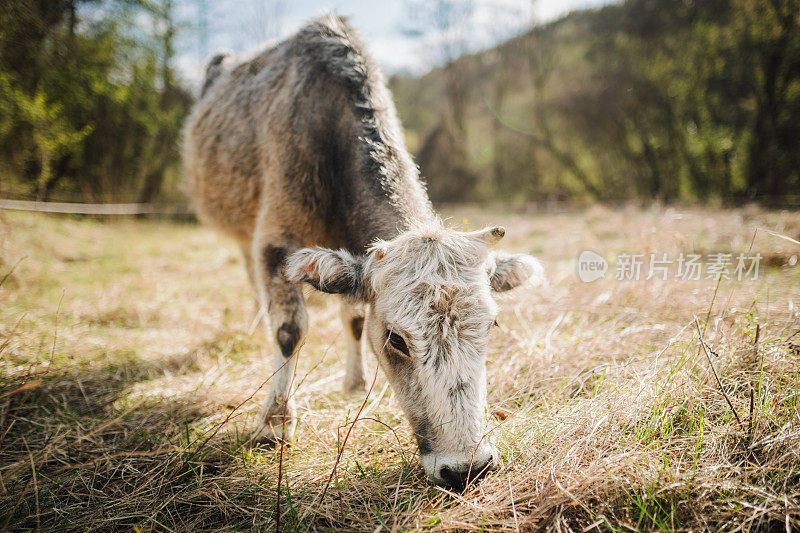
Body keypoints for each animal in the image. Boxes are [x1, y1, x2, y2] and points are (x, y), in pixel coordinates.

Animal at [181, 14, 544, 488]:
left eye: (493, 325)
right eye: (395, 339)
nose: (468, 468)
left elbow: (353, 319)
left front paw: (354, 384)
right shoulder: (275, 237)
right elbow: (289, 330)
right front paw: (274, 424)